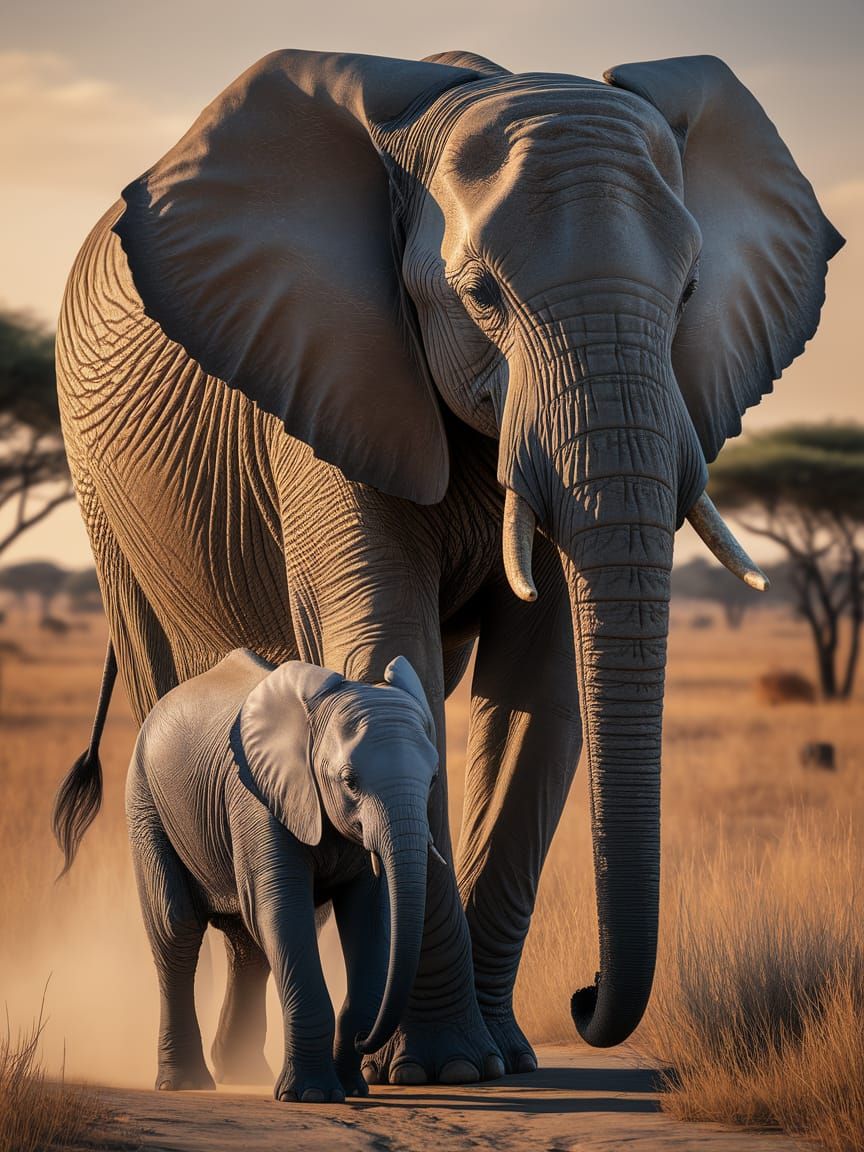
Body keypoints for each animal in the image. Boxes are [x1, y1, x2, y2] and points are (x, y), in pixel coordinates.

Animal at [120, 650, 438, 1100]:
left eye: (432, 779)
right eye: (349, 781)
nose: (365, 1041)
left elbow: (371, 920)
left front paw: (351, 1088)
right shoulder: (257, 798)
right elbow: (283, 911)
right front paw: (312, 1095)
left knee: (248, 947)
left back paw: (242, 1072)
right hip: (146, 801)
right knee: (175, 930)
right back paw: (184, 1083)